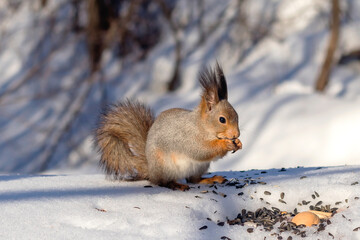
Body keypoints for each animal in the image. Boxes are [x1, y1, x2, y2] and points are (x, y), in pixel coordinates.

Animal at [95, 62, 242, 190]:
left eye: (237, 115)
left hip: (199, 167)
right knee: (161, 182)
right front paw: (226, 144)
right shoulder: (188, 137)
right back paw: (175, 185)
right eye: (222, 119)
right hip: (165, 166)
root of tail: (151, 169)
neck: (202, 126)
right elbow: (200, 150)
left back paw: (211, 179)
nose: (236, 134)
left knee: (193, 179)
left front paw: (238, 143)